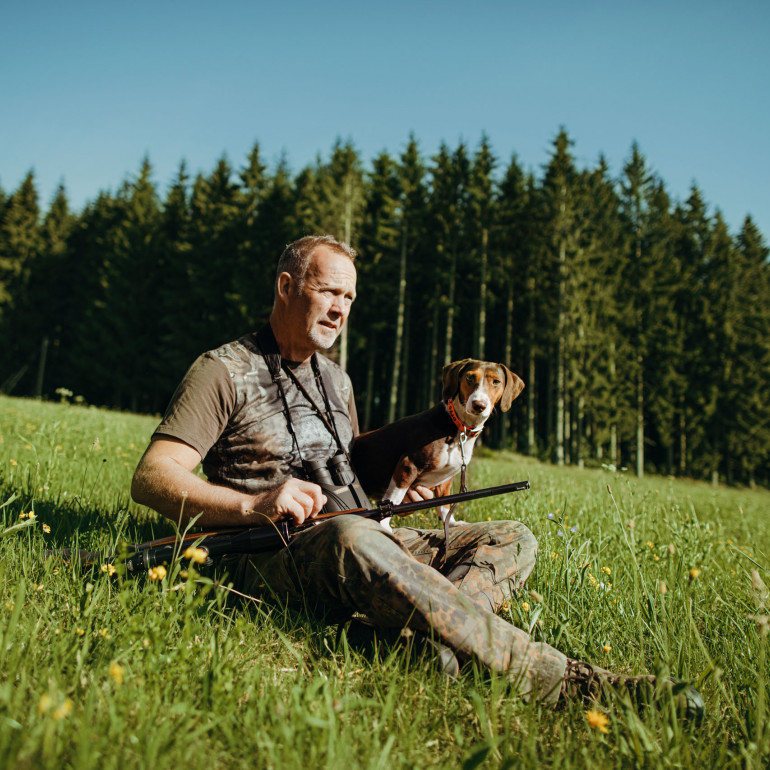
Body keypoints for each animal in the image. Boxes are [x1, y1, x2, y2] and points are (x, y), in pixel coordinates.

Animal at [350, 358, 520, 528]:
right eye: (470, 377)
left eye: (496, 381)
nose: (479, 405)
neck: (459, 427)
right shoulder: (408, 465)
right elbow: (393, 500)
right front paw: (384, 526)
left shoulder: (446, 479)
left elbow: (444, 505)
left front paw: (451, 523)